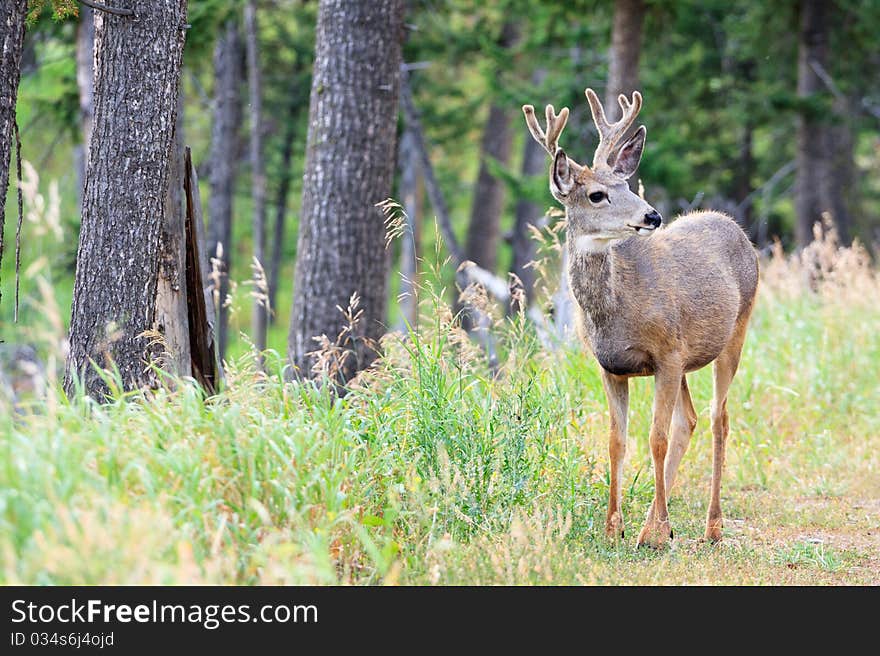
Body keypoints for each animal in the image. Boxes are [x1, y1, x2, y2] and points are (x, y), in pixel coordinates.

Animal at [524, 89, 756, 544]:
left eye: (627, 184)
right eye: (597, 194)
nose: (652, 216)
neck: (616, 312)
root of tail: (737, 228)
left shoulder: (666, 354)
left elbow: (656, 437)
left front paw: (655, 533)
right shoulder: (611, 366)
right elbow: (618, 440)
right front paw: (614, 526)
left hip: (734, 332)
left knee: (718, 418)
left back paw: (710, 526)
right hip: (687, 358)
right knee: (691, 420)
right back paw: (655, 520)